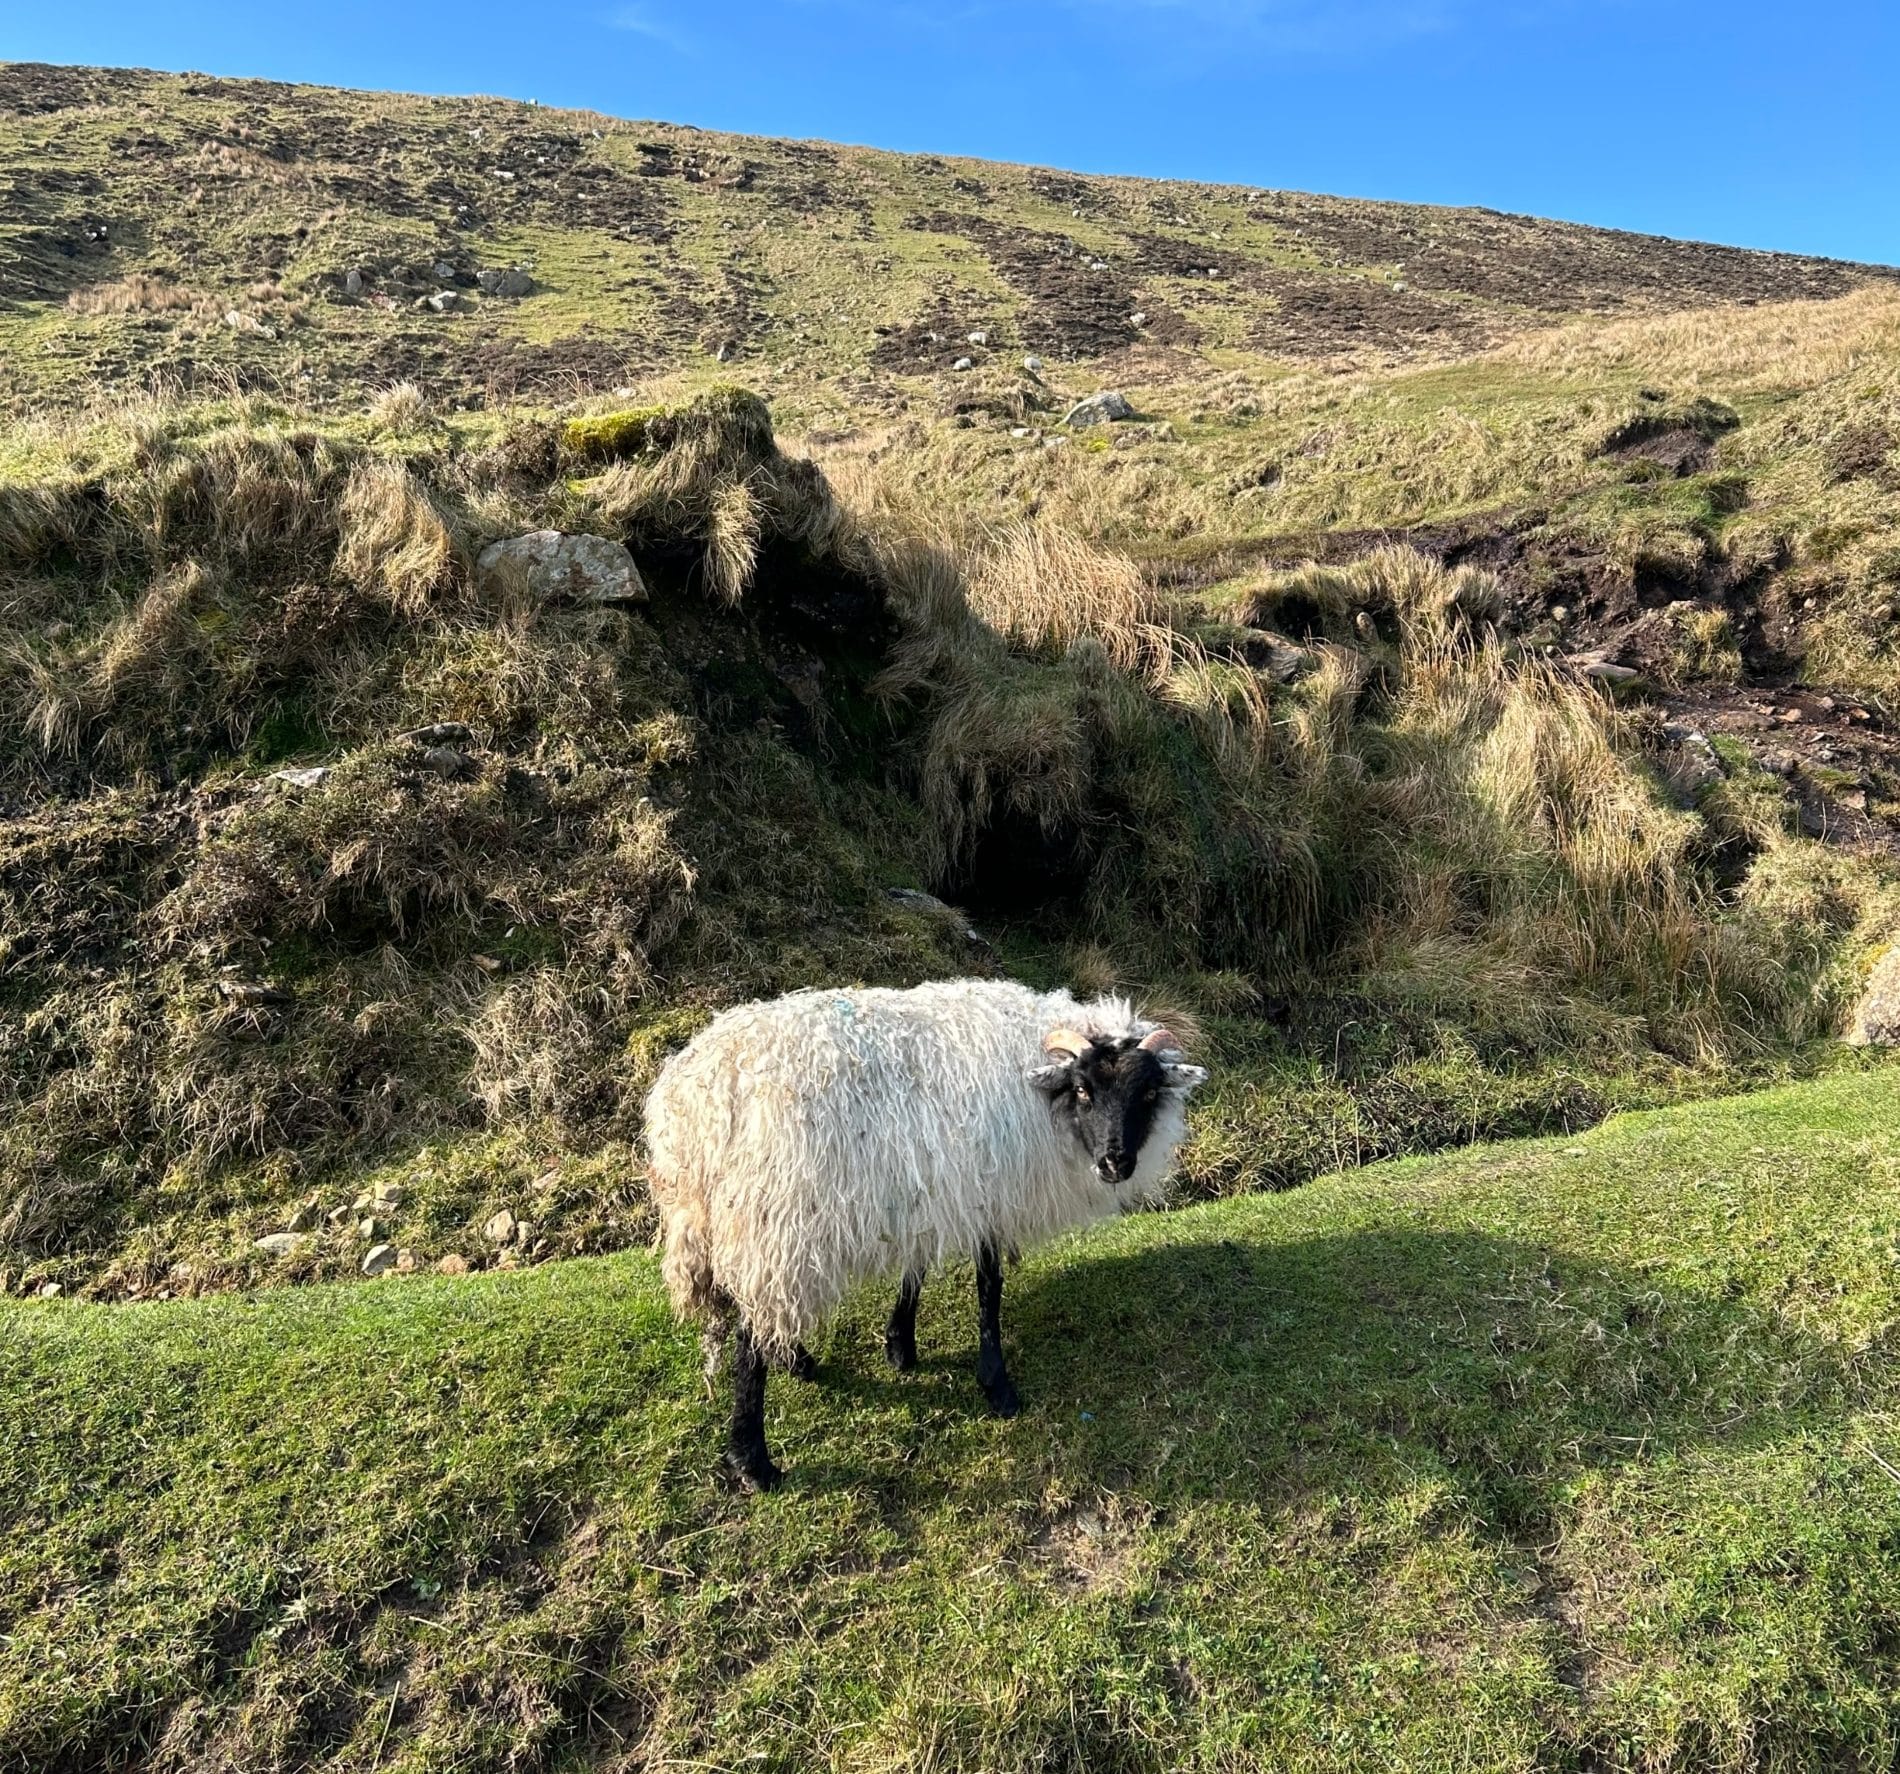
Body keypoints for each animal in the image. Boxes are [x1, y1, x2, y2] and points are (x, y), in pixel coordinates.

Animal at [644, 977, 1208, 1489]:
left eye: (1149, 1092)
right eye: (1084, 1089)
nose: (1116, 1164)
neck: (1043, 1098)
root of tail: (694, 1105)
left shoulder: (934, 1186)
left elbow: (916, 1268)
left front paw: (900, 1345)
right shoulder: (987, 1189)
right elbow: (989, 1285)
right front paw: (996, 1384)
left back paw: (794, 1361)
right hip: (770, 1220)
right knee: (749, 1339)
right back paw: (754, 1460)